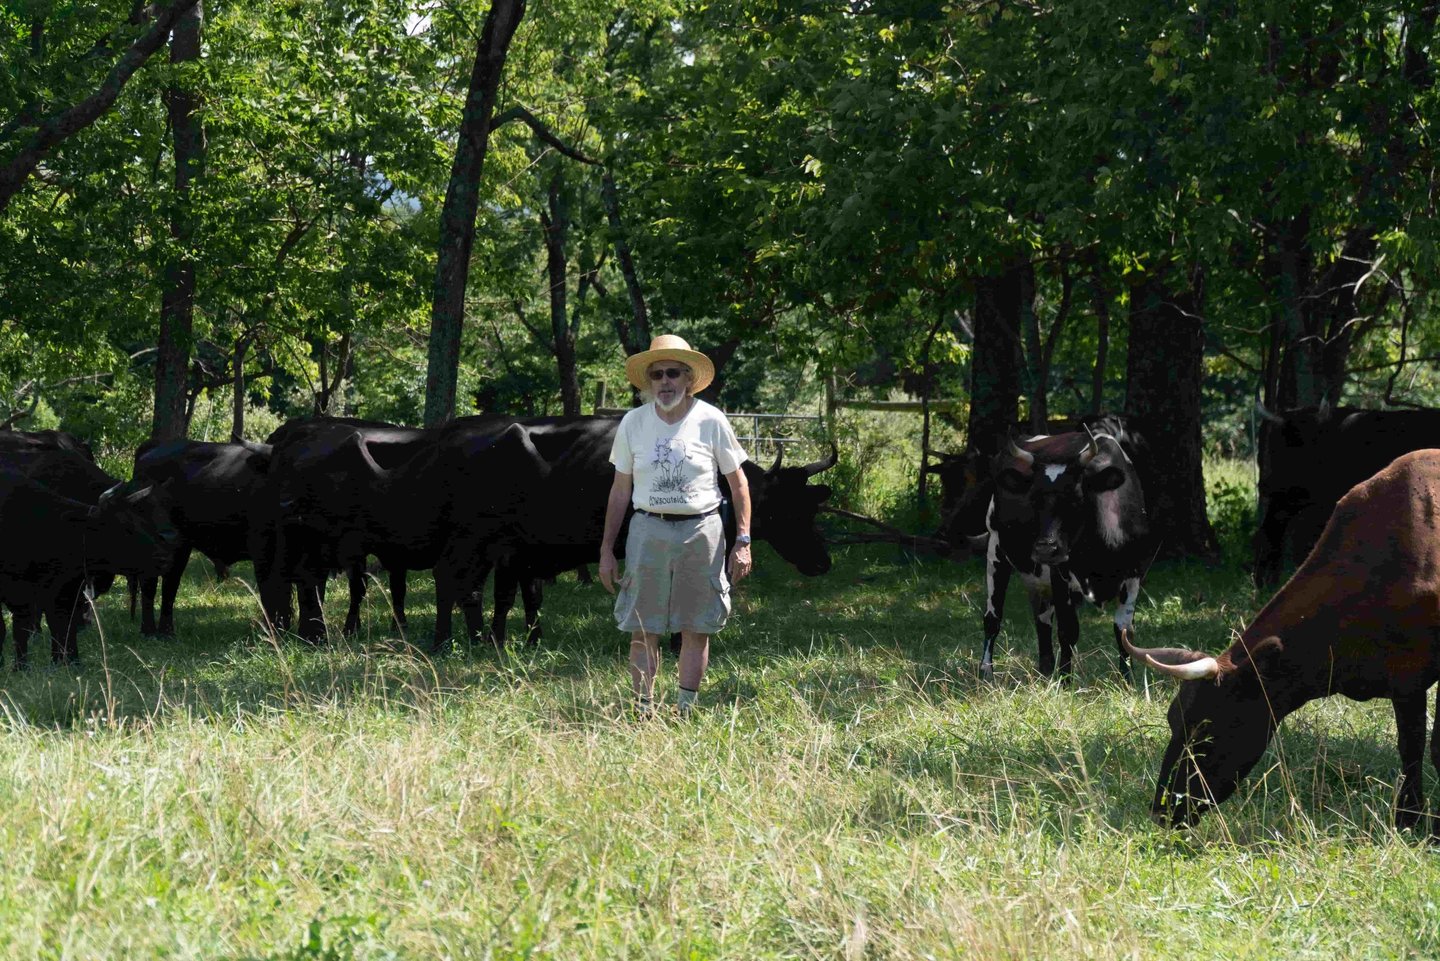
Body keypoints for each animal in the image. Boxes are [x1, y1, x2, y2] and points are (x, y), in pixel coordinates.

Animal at [0, 472, 176, 667]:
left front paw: (66, 662)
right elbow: (17, 629)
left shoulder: (63, 593)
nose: (165, 557)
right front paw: (20, 667)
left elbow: (62, 628)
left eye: (142, 522)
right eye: (125, 527)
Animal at [979, 425, 1154, 682]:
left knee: (1042, 619)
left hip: (1036, 577)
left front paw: (1127, 680)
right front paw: (1065, 681)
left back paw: (1044, 670)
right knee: (993, 618)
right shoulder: (1061, 576)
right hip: (996, 550)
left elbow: (1124, 631)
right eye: (1033, 499)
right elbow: (1068, 631)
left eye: (1076, 498)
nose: (1045, 548)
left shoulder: (1134, 575)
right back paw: (986, 672)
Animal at [1126, 448, 1440, 832]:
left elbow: (1418, 746)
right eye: (1173, 720)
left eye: (1206, 730)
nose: (1162, 810)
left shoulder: (1410, 676)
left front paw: (1410, 820)